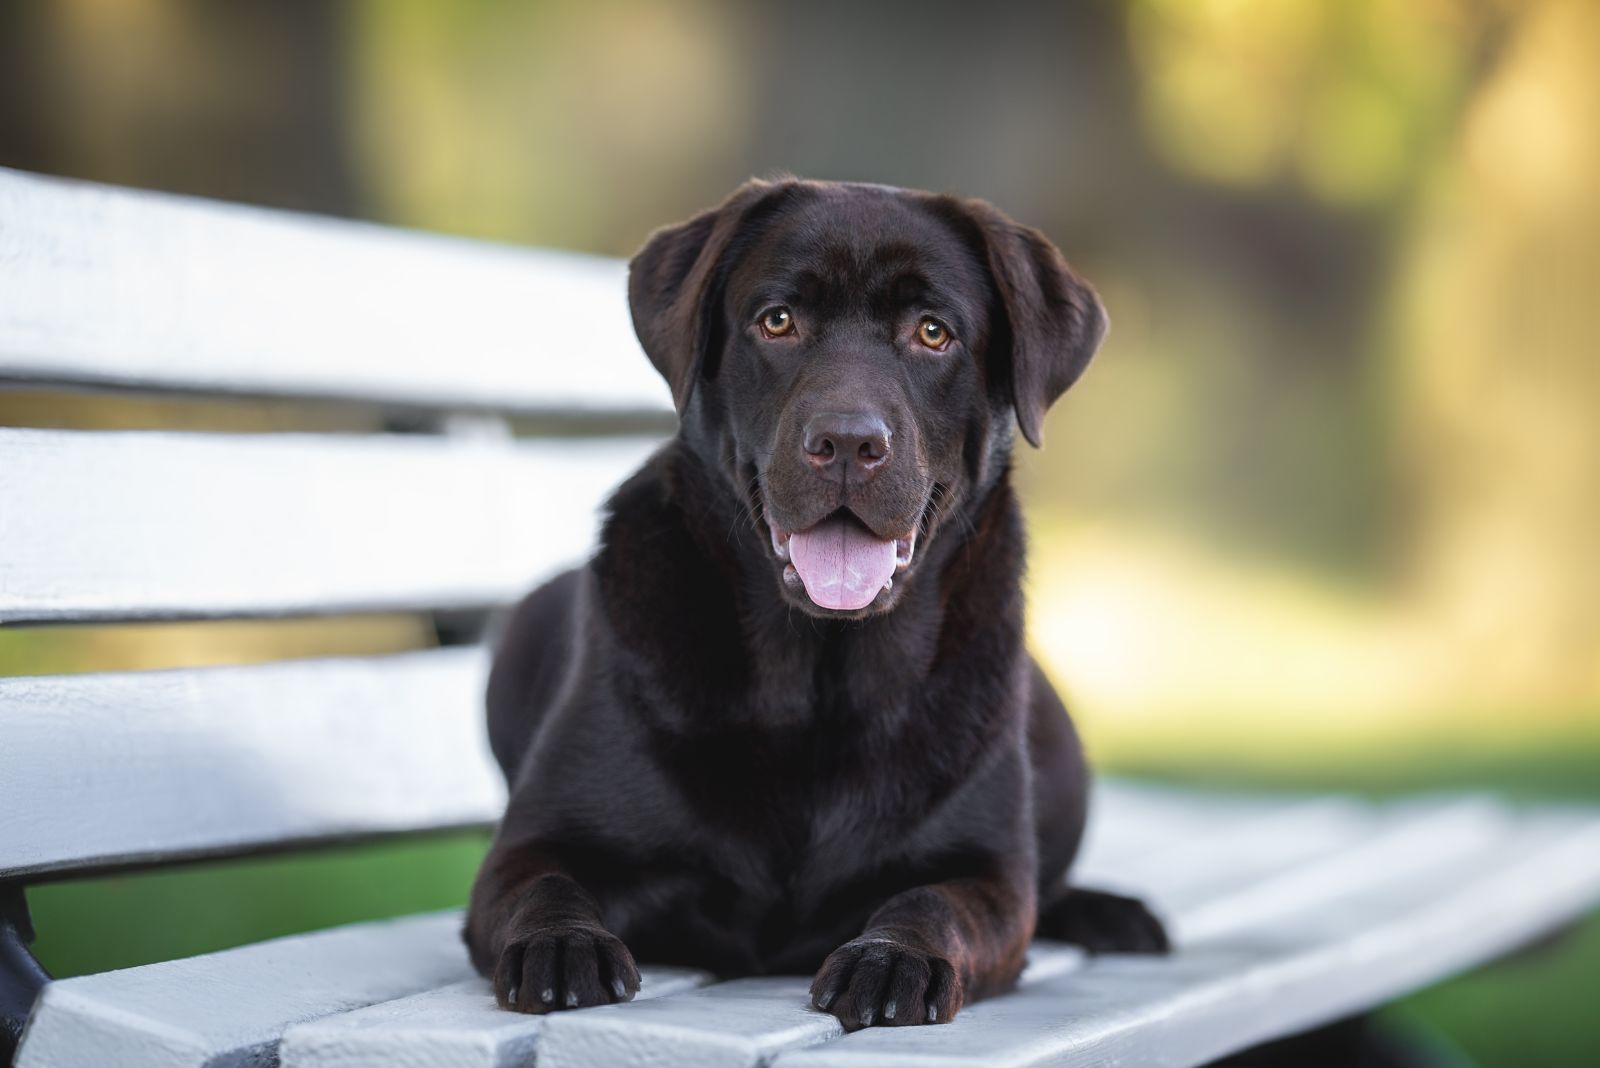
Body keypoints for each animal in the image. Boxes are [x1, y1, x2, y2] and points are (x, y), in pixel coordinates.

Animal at [464, 179, 1164, 1029]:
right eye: (777, 321)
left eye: (933, 333)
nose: (849, 443)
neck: (817, 678)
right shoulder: (532, 843)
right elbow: (542, 882)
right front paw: (563, 945)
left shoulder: (990, 876)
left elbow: (934, 903)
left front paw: (894, 960)